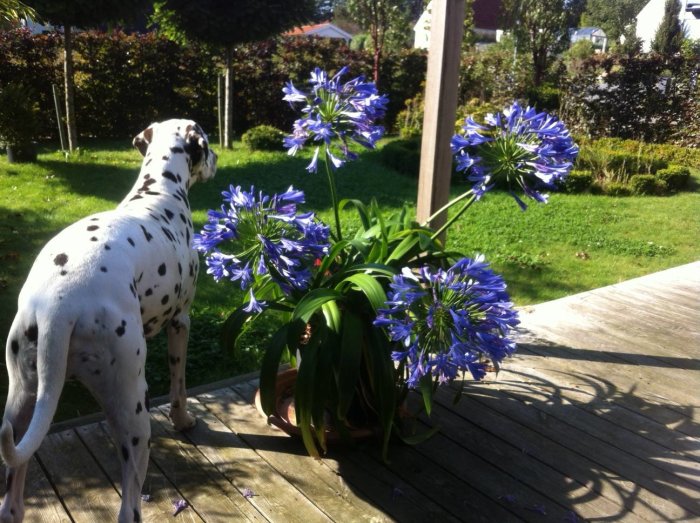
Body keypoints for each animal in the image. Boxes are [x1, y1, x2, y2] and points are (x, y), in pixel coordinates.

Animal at [0, 119, 216, 523]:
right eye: (208, 144)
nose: (218, 160)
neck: (158, 193)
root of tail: (57, 305)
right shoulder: (181, 322)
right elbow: (179, 384)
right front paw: (183, 421)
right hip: (131, 407)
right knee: (129, 506)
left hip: (22, 401)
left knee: (11, 500)